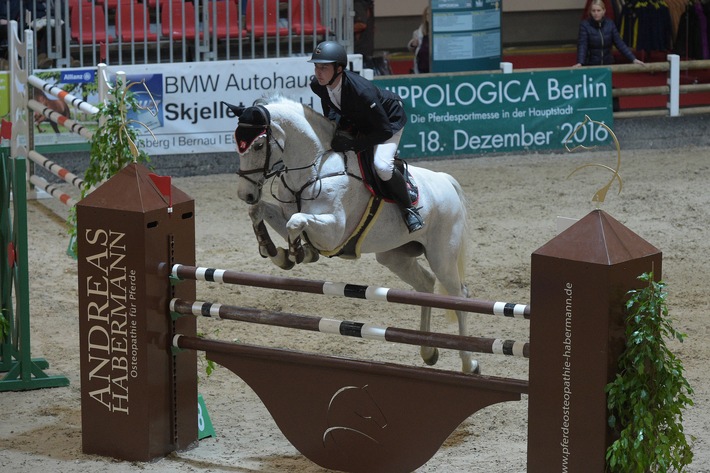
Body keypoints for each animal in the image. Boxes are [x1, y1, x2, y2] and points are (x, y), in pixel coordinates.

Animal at [229, 96, 478, 374]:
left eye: (259, 144)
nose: (246, 194)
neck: (315, 168)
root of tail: (446, 181)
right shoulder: (286, 215)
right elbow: (260, 212)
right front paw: (274, 251)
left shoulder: (333, 233)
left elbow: (296, 222)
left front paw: (298, 253)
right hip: (394, 256)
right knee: (425, 284)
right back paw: (428, 351)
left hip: (441, 255)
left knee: (459, 297)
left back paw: (469, 363)